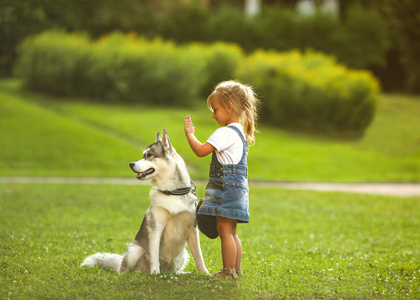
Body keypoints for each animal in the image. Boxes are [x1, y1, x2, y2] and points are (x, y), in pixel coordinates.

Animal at [81, 129, 208, 274]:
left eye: (149, 155)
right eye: (143, 155)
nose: (131, 164)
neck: (171, 193)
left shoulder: (192, 230)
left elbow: (199, 257)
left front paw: (206, 274)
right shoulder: (155, 228)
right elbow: (154, 256)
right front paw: (155, 274)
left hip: (183, 255)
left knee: (174, 271)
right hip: (135, 250)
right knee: (124, 271)